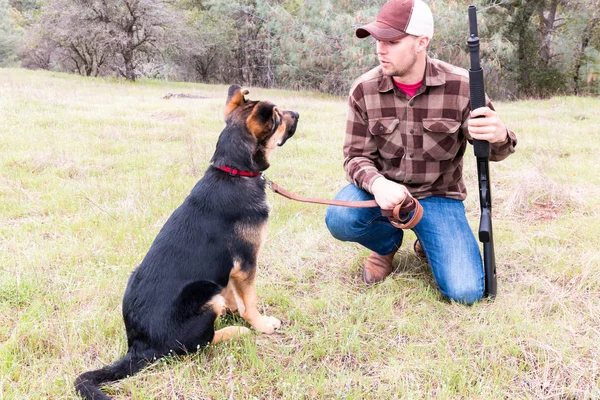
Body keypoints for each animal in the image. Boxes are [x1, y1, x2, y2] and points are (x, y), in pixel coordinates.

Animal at [75, 86, 300, 398]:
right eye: (278, 116)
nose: (298, 114)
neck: (234, 170)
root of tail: (138, 346)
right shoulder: (247, 262)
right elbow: (250, 301)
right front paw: (260, 324)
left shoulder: (231, 269)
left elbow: (233, 293)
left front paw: (235, 310)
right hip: (204, 294)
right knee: (196, 345)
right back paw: (236, 332)